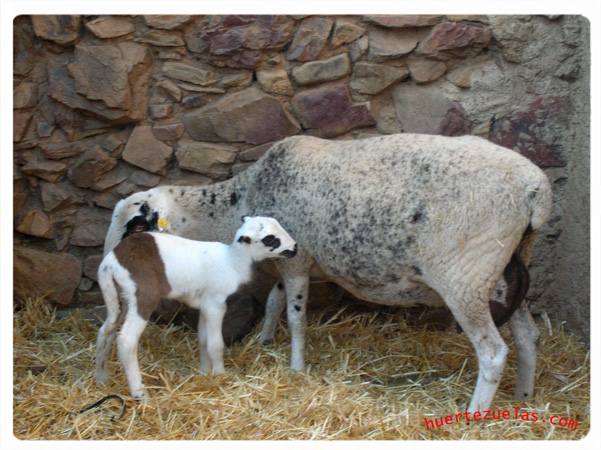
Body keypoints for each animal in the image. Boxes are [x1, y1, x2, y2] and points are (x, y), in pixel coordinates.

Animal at [94, 216, 298, 400]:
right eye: (270, 239)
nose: (295, 247)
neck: (232, 262)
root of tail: (111, 264)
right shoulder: (216, 304)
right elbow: (216, 343)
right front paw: (221, 375)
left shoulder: (205, 305)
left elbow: (203, 339)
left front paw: (204, 373)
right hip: (142, 297)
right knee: (126, 340)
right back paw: (140, 394)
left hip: (117, 297)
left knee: (106, 330)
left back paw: (102, 378)